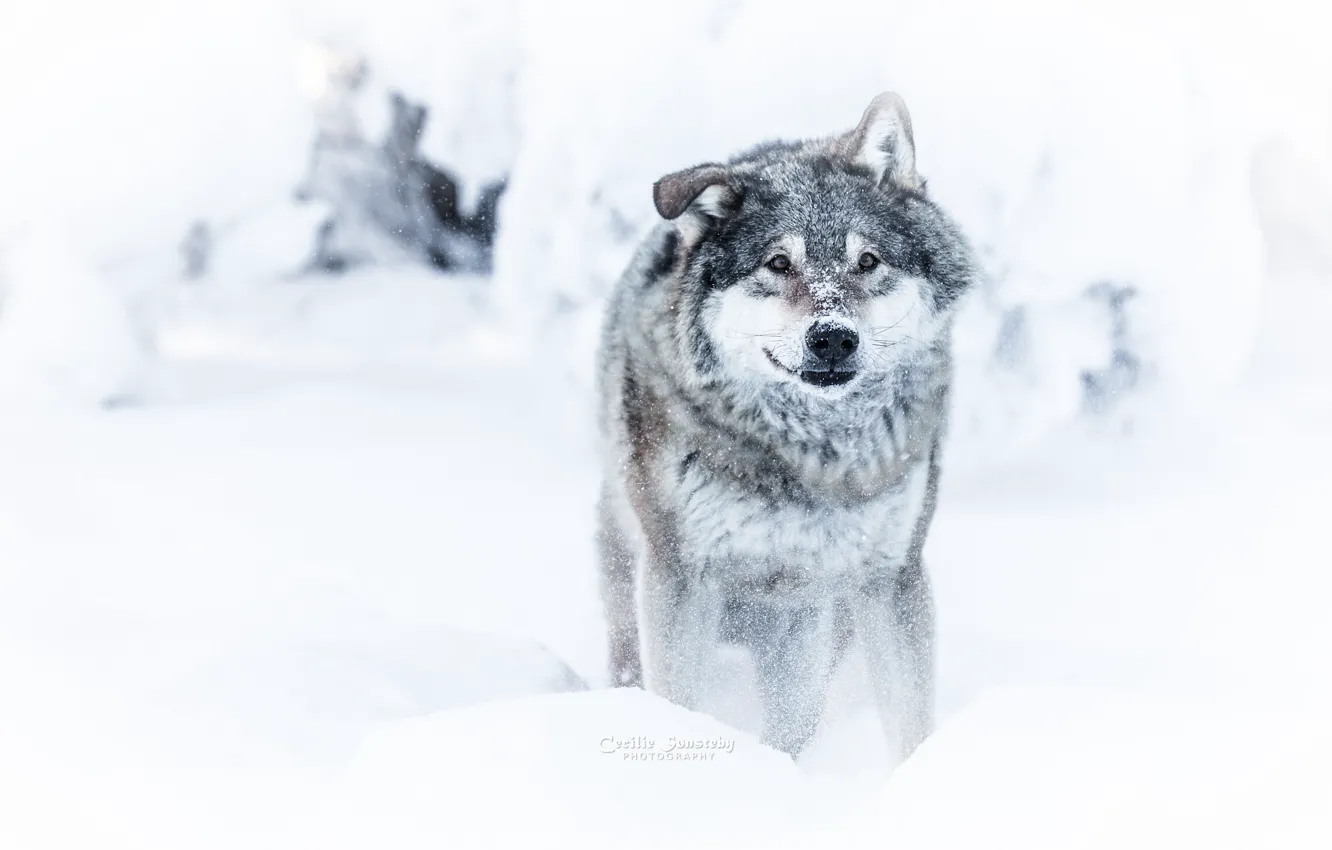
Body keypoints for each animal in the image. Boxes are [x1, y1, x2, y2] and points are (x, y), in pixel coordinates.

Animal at [599, 91, 975, 756]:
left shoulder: (892, 578)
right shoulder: (680, 577)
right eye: (778, 263)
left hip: (805, 627)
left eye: (867, 261)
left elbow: (911, 726)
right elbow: (678, 706)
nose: (832, 339)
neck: (816, 454)